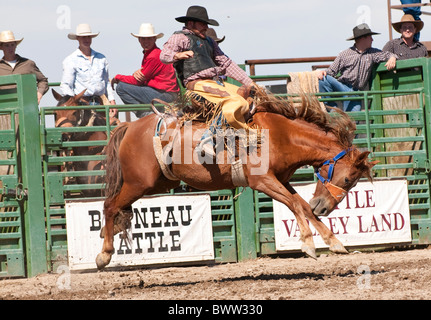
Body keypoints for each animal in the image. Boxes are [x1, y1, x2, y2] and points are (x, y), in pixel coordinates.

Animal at [97, 90, 378, 270]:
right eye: (347, 179)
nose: (326, 207)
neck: (280, 135)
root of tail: (130, 127)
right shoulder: (262, 181)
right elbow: (295, 205)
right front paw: (308, 244)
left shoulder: (281, 180)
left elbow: (303, 206)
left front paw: (334, 242)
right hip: (138, 183)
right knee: (109, 206)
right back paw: (103, 255)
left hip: (157, 183)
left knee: (117, 207)